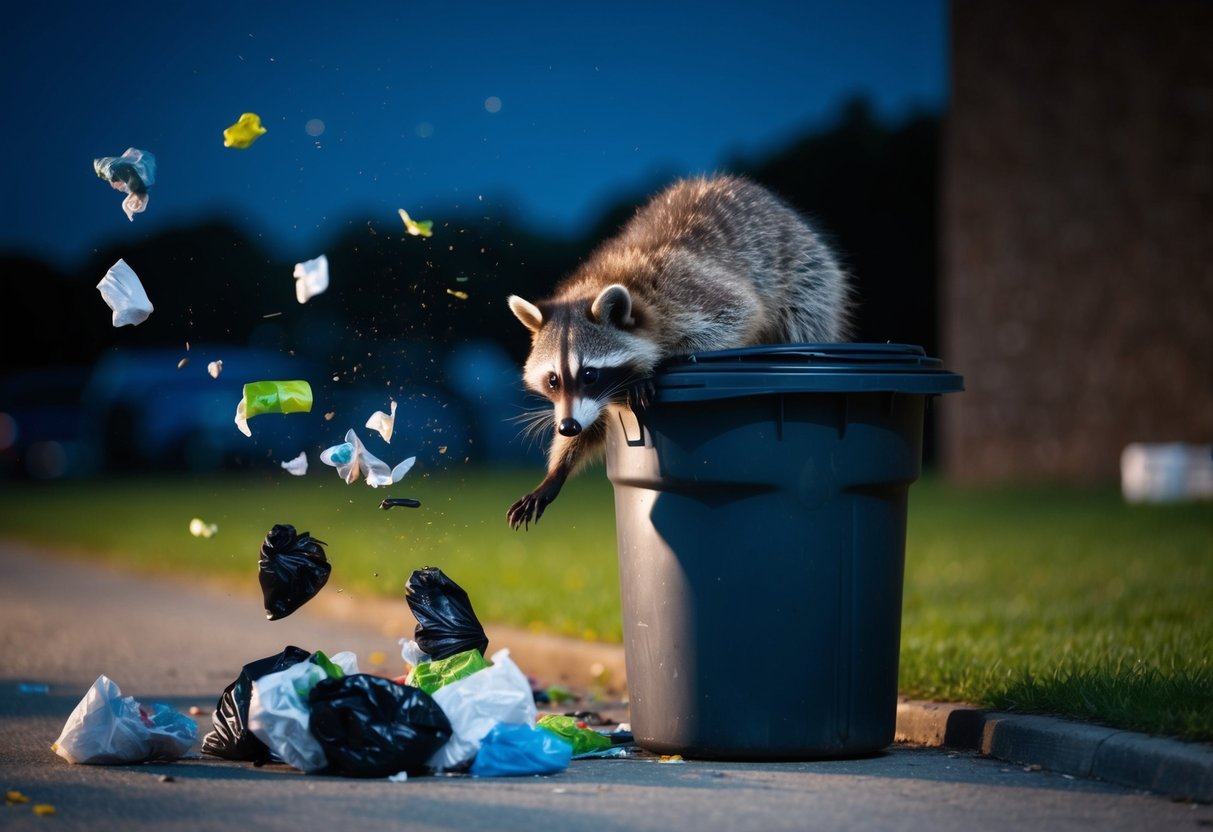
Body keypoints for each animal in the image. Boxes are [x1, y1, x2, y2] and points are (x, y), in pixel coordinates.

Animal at [506, 173, 854, 530]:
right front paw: (556, 470)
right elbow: (593, 422)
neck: (611, 280)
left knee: (804, 319)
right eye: (552, 379)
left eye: (589, 374)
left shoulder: (689, 291)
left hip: (809, 277)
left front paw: (656, 367)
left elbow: (740, 313)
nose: (567, 427)